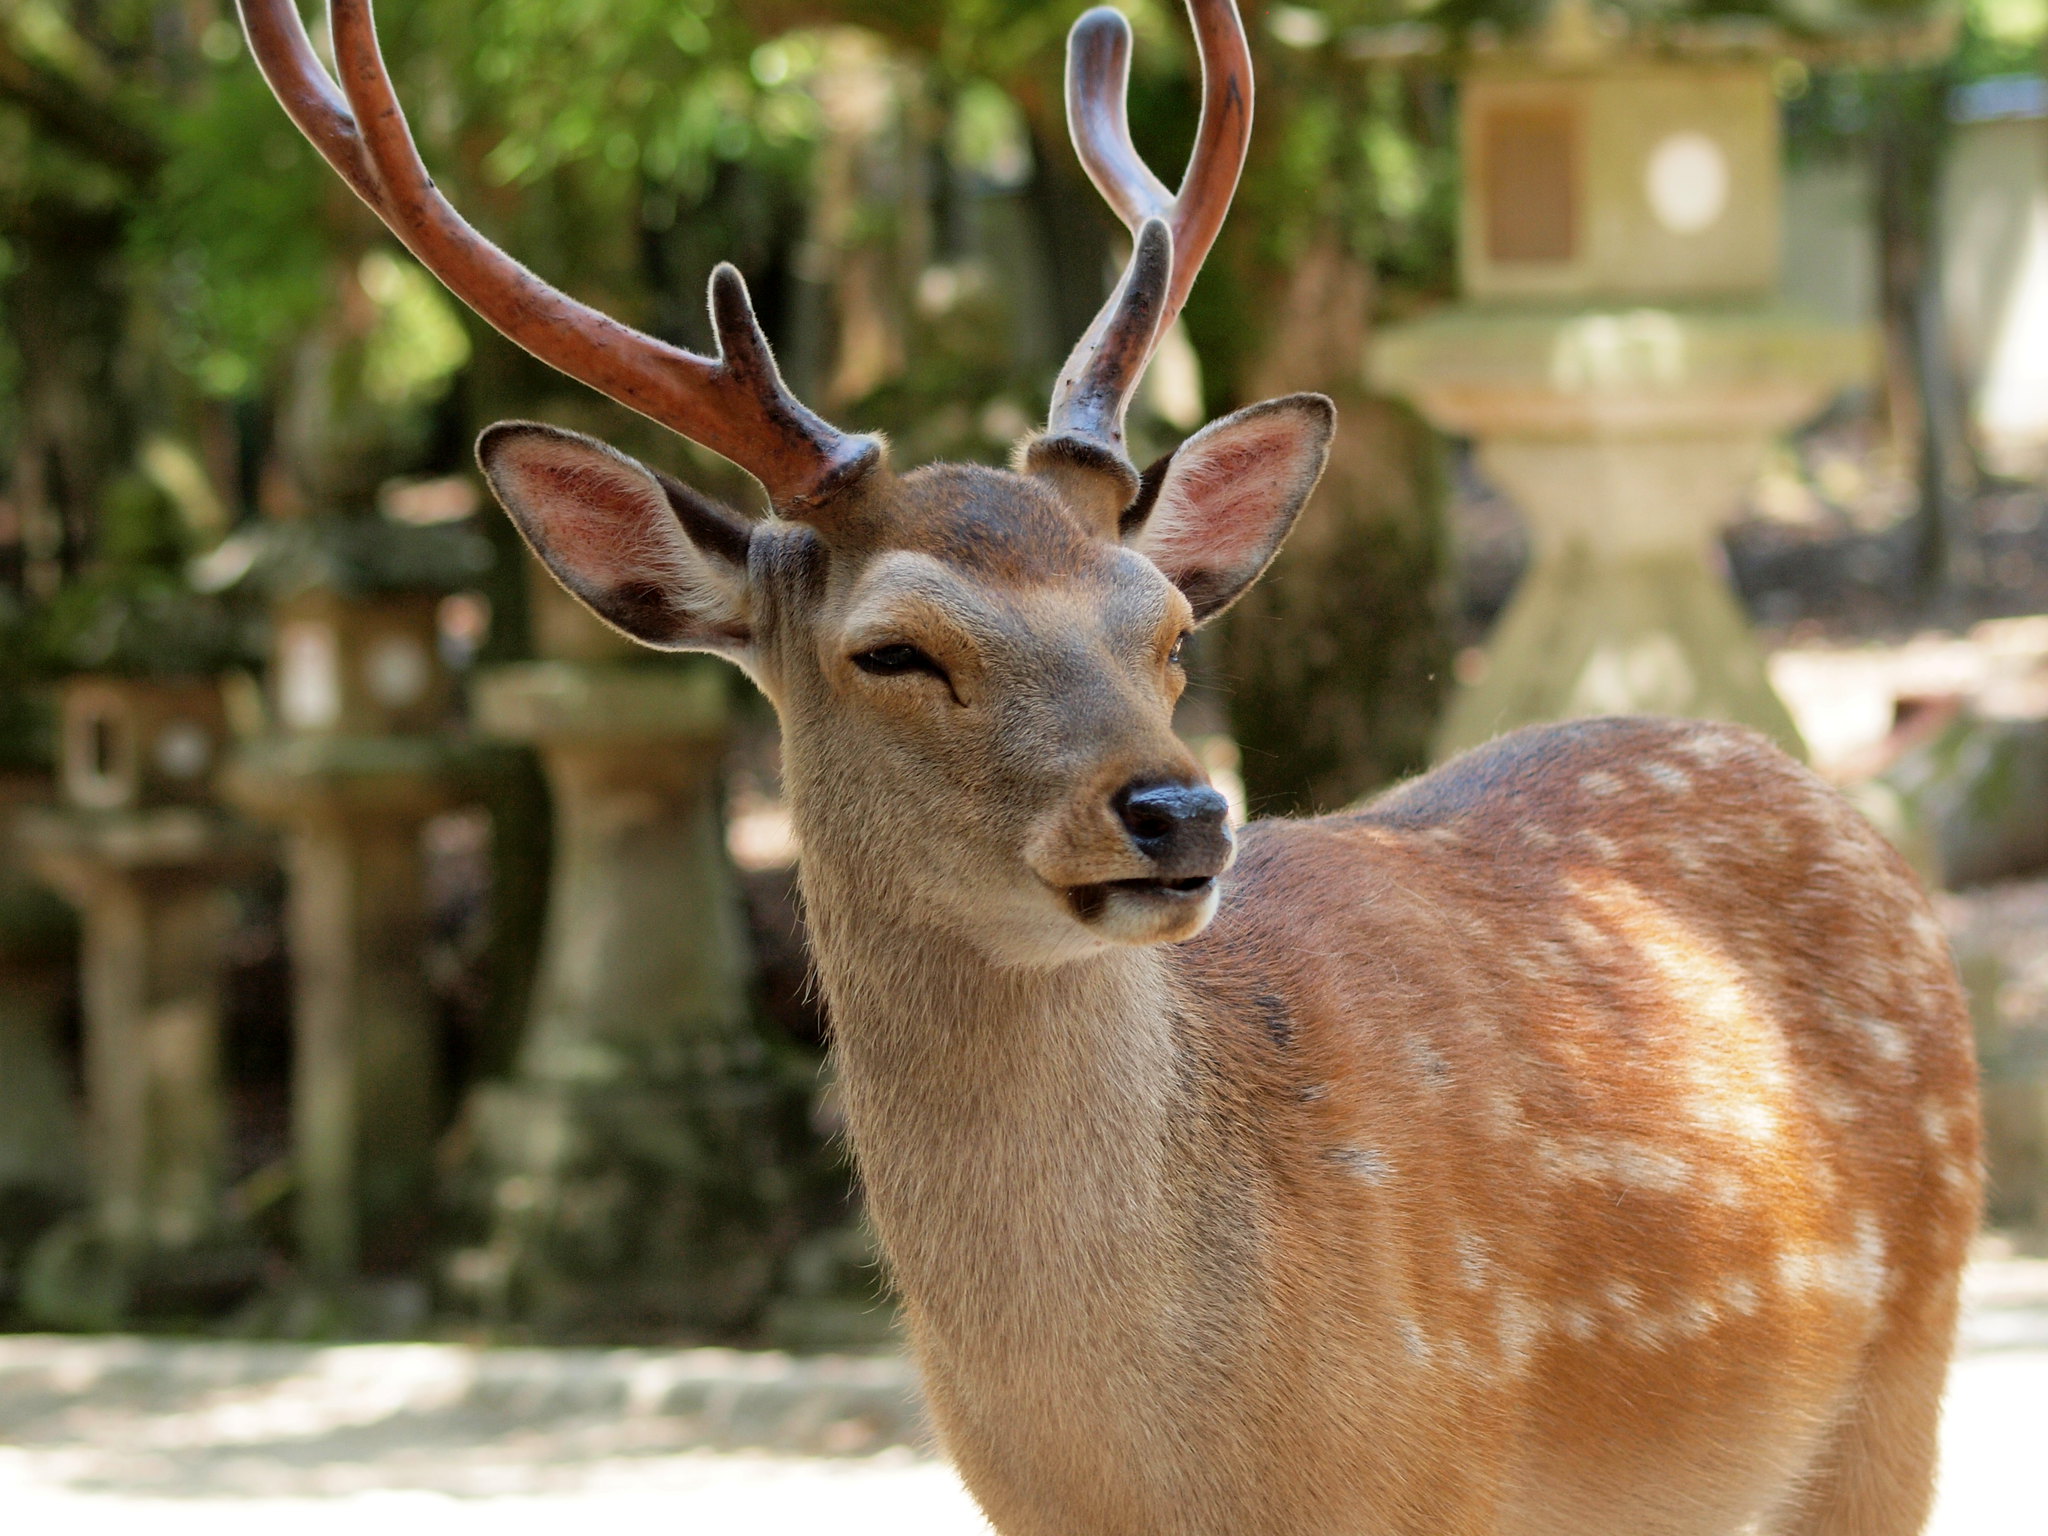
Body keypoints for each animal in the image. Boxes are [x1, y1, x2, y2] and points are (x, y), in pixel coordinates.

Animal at [239, 0, 1982, 1531]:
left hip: (1904, 1369)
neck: (1167, 1458)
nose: (1180, 808)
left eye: (1167, 626)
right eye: (895, 648)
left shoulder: (1445, 1484)